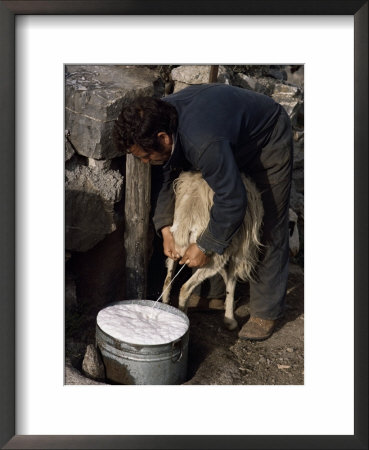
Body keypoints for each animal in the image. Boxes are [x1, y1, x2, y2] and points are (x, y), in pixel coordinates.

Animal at [160, 171, 262, 330]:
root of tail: (189, 217)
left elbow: (227, 277)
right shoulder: (237, 253)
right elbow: (231, 282)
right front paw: (230, 319)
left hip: (174, 247)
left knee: (168, 280)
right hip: (211, 257)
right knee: (185, 288)